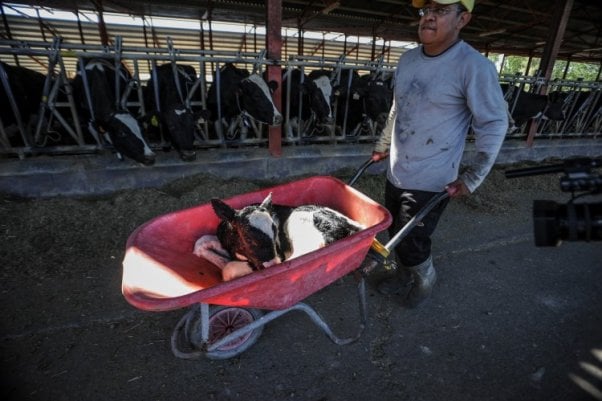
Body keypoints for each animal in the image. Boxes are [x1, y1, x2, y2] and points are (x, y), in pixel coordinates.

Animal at [199, 192, 360, 280]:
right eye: (248, 237)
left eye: (275, 231)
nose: (273, 265)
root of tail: (355, 226)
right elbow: (201, 242)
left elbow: (228, 269)